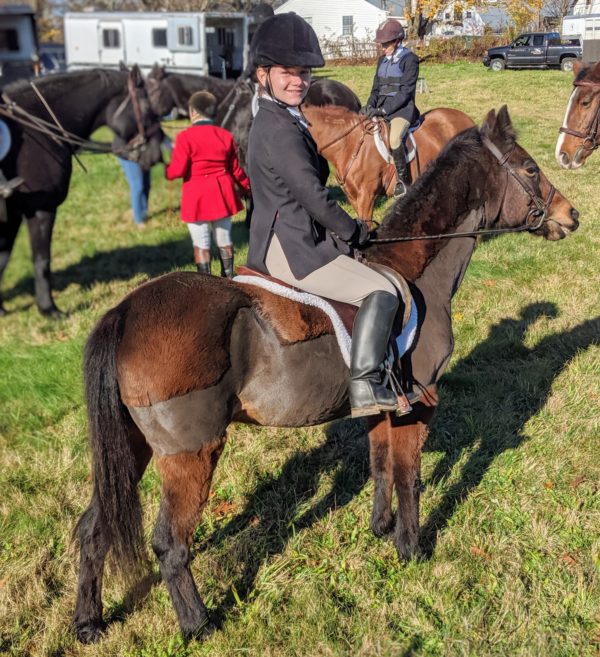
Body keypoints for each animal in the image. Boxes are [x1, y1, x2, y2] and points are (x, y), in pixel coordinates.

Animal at [0, 65, 164, 316]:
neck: (36, 128)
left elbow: (3, 259)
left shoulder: (12, 215)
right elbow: (42, 260)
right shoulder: (41, 210)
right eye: (147, 107)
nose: (155, 154)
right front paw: (49, 310)